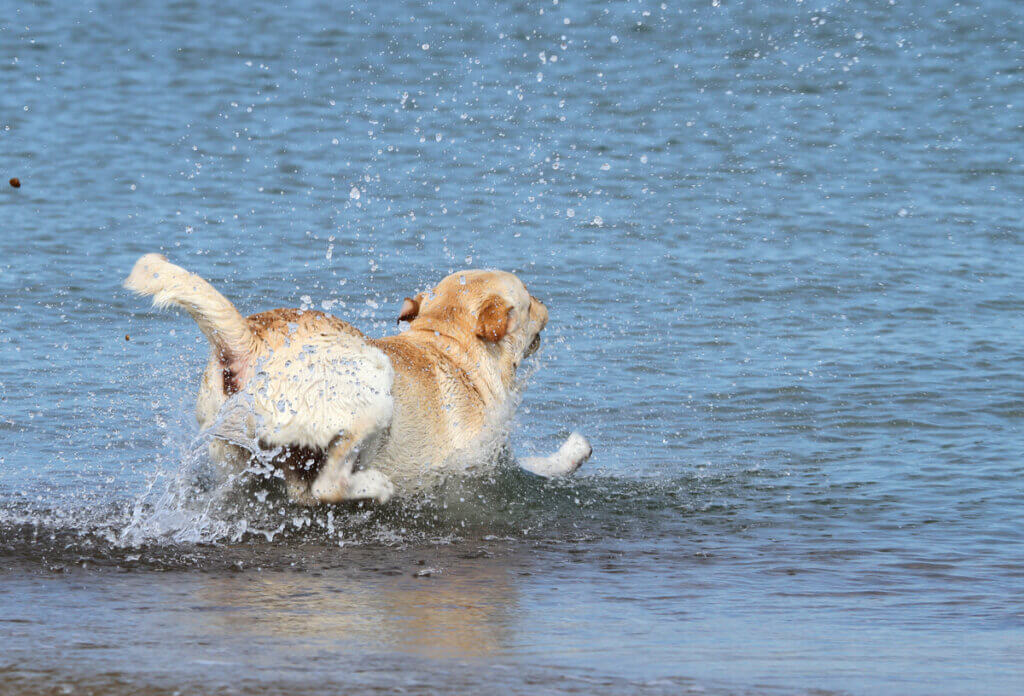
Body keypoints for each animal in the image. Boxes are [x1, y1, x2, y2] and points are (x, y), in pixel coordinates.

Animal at [123, 252, 589, 503]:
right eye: (530, 300)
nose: (547, 303)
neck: (449, 344)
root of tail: (249, 341)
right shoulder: (476, 467)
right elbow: (544, 466)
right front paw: (575, 450)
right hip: (374, 397)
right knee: (325, 487)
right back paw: (374, 486)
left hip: (235, 457)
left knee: (296, 491)